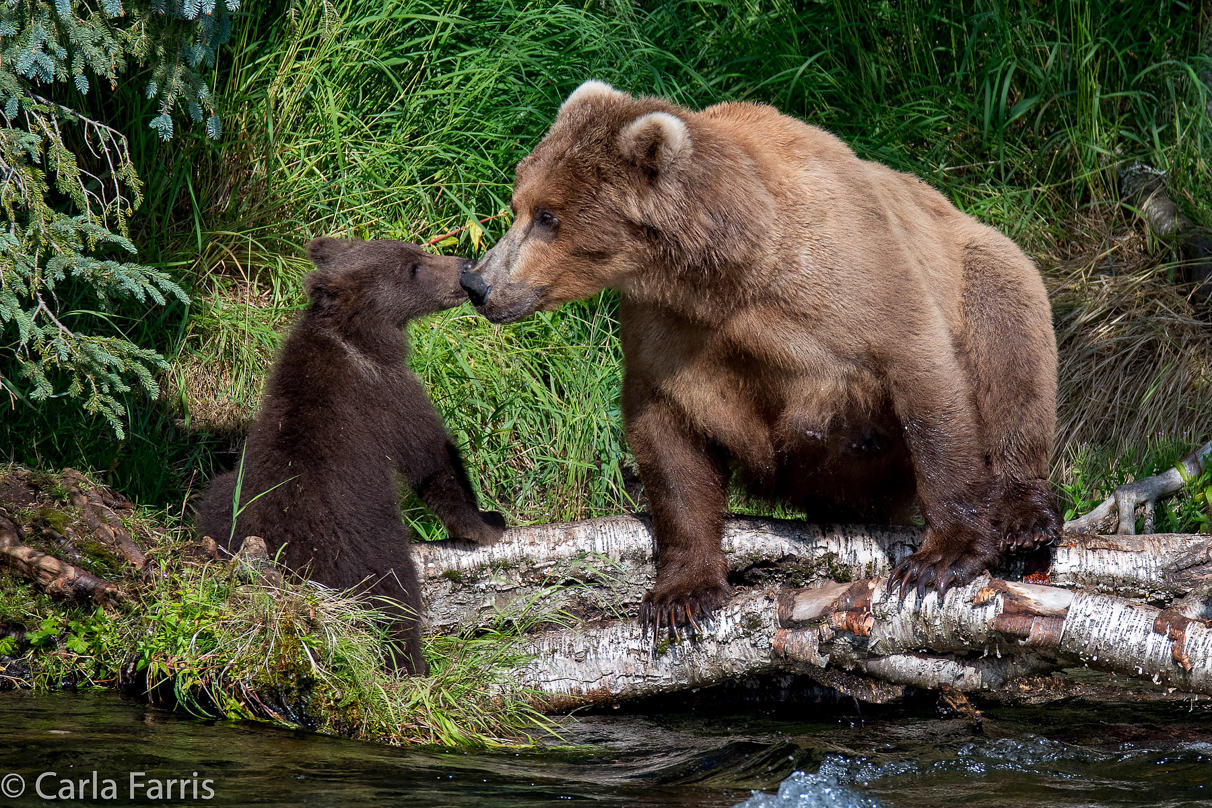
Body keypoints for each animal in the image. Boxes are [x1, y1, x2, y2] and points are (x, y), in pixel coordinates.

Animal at [198, 237, 501, 673]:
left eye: (416, 250)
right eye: (413, 267)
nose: (465, 266)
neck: (356, 336)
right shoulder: (387, 393)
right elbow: (433, 459)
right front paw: (487, 522)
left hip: (222, 511)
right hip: (363, 544)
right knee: (395, 600)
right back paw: (413, 665)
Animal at [462, 82, 1061, 639]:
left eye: (548, 216)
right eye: (518, 204)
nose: (477, 283)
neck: (730, 268)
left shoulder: (855, 280)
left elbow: (925, 383)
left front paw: (940, 559)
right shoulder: (668, 331)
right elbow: (668, 442)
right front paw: (681, 595)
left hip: (985, 265)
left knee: (1010, 354)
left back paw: (1025, 518)